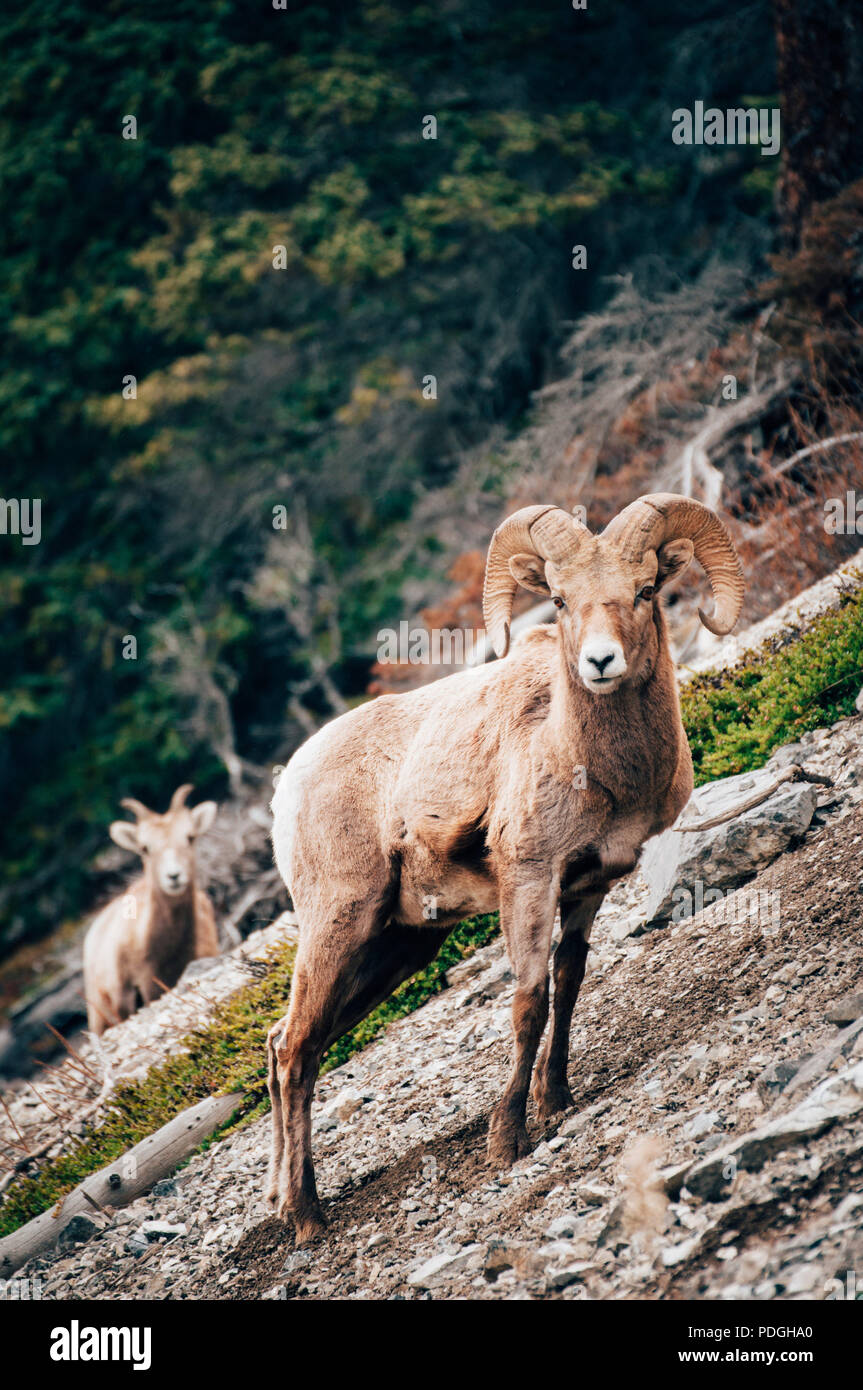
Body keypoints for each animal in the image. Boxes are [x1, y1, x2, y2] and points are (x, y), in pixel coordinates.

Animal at [265, 494, 744, 1245]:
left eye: (644, 590)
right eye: (560, 598)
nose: (600, 661)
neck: (582, 757)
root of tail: (285, 791)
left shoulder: (587, 887)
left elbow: (568, 984)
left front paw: (558, 1100)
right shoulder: (529, 880)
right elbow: (528, 1001)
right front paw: (508, 1139)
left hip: (394, 951)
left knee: (291, 1046)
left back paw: (282, 1205)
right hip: (339, 925)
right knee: (292, 1051)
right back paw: (308, 1219)